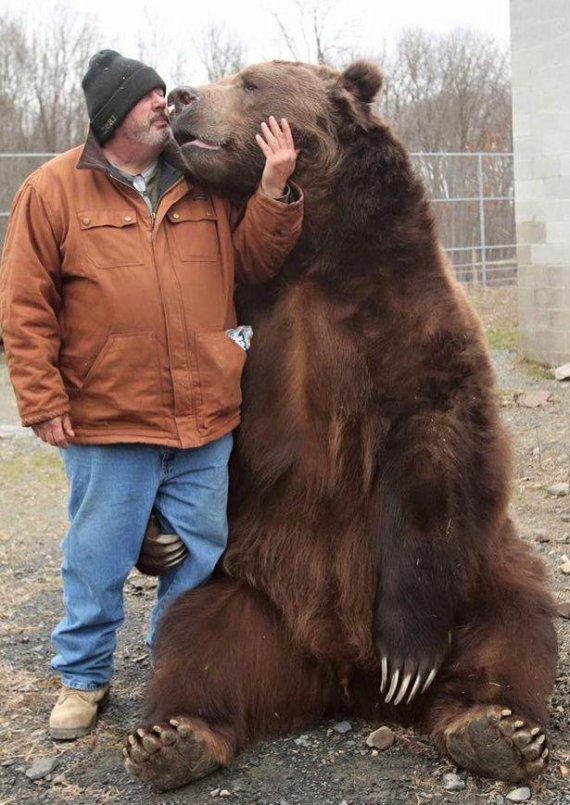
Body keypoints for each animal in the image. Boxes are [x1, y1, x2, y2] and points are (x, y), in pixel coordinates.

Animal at [123, 61, 556, 792]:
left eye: (250, 82)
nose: (181, 96)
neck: (313, 257)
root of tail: (343, 681)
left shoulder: (411, 320)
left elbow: (437, 457)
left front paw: (409, 655)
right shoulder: (251, 318)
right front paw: (156, 539)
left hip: (478, 570)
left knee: (515, 617)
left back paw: (494, 728)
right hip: (248, 589)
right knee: (197, 638)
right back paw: (172, 735)